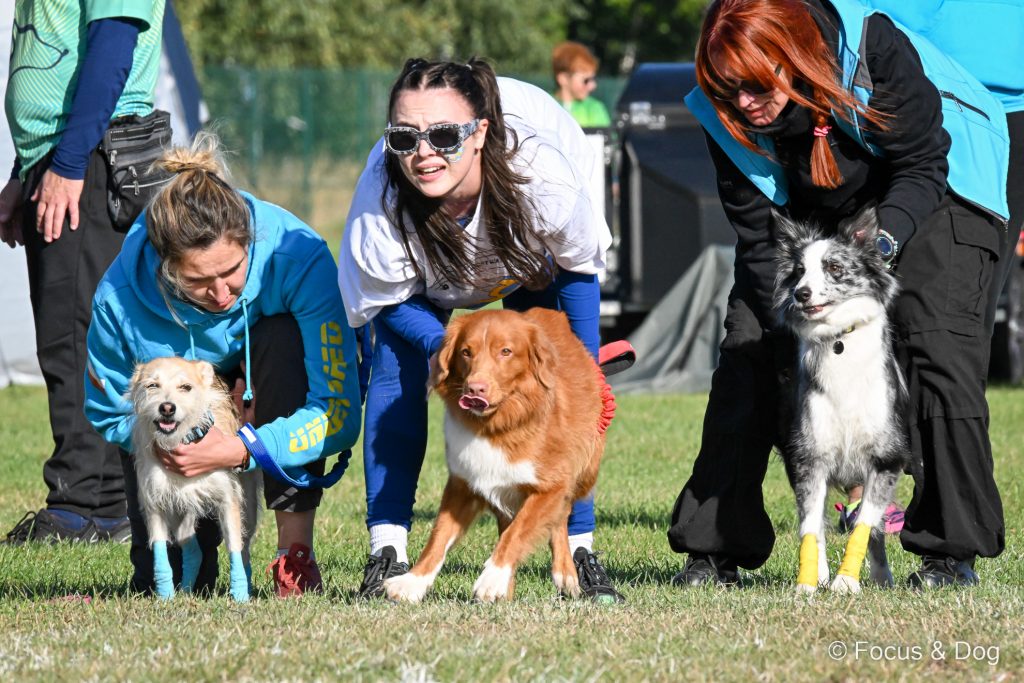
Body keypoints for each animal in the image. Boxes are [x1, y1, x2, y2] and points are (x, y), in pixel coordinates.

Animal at [380, 307, 610, 602]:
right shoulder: (464, 485)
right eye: (466, 352)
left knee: (560, 515)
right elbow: (439, 537)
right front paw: (412, 582)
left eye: (506, 351)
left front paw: (493, 579)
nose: (475, 388)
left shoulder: (551, 485)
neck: (497, 425)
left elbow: (517, 532)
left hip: (582, 469)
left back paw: (564, 573)